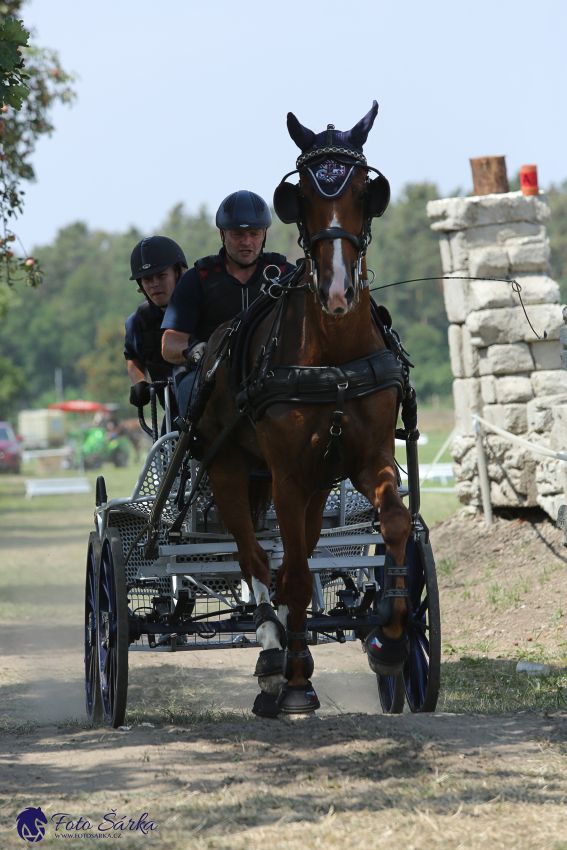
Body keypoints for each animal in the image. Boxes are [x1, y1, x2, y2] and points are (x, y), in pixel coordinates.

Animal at [189, 99, 414, 712]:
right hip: (229, 466)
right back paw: (274, 658)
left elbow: (395, 522)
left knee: (300, 554)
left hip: (315, 483)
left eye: (365, 191)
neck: (332, 358)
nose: (337, 293)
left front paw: (389, 640)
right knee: (258, 560)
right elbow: (287, 574)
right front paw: (289, 682)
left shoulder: (367, 459)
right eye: (303, 198)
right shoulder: (286, 474)